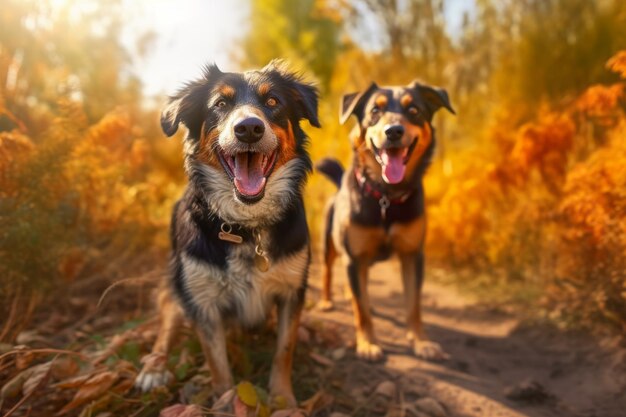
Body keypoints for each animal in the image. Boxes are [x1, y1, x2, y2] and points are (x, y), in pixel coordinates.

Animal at [132, 60, 316, 404]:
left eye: (273, 102)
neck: (246, 225)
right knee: (166, 327)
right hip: (176, 288)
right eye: (220, 104)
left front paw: (283, 399)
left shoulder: (291, 290)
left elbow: (284, 349)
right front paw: (226, 401)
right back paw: (154, 369)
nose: (249, 128)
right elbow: (217, 364)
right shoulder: (202, 300)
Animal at [316, 81, 454, 360]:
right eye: (374, 111)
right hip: (329, 244)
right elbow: (361, 310)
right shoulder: (354, 256)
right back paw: (327, 300)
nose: (394, 131)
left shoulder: (412, 255)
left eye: (413, 110)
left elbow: (413, 303)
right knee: (327, 271)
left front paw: (421, 341)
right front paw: (368, 343)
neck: (386, 197)